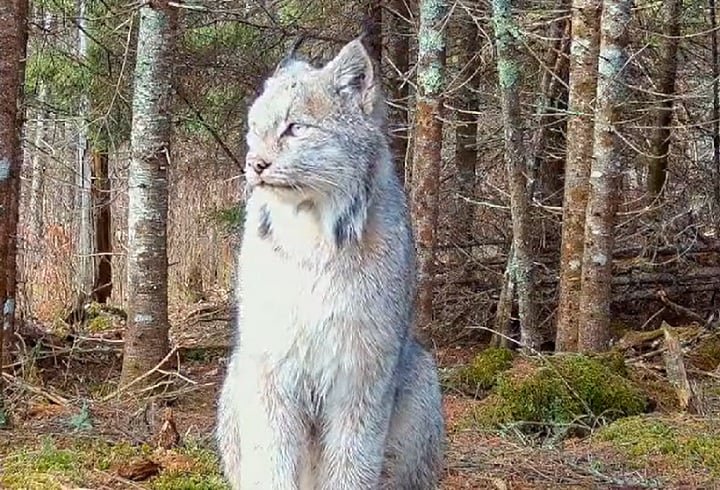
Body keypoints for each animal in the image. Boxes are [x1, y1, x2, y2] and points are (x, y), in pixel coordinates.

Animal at [216, 36, 445, 489]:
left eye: (295, 128)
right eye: (255, 129)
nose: (254, 165)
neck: (312, 237)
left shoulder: (363, 372)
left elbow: (352, 464)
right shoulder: (271, 364)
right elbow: (270, 460)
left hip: (423, 372)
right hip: (236, 373)